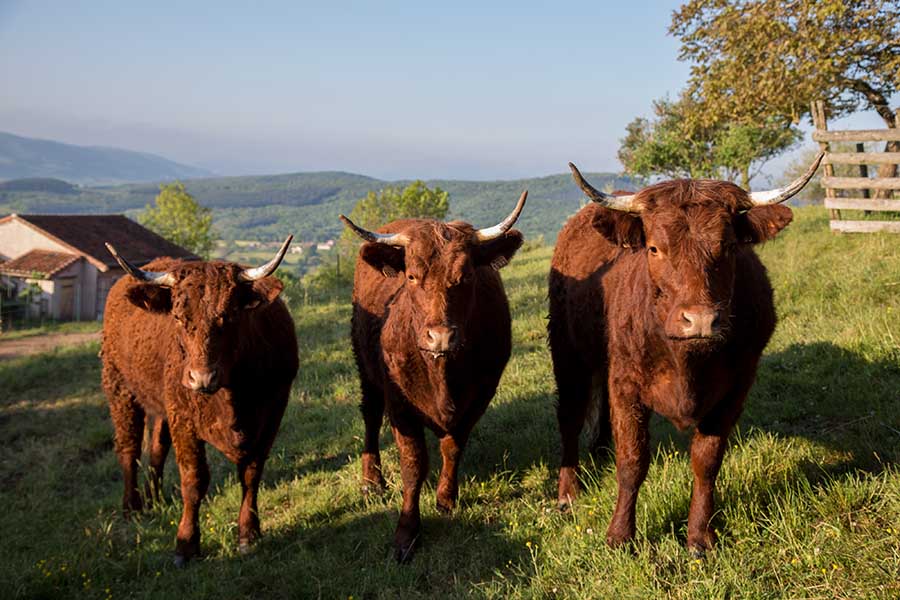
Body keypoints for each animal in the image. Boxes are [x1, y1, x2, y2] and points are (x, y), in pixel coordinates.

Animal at [100, 237, 298, 564]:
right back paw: (132, 507)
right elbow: (194, 481)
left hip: (161, 404)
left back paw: (155, 498)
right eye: (179, 317)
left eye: (229, 316)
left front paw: (249, 533)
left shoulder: (273, 412)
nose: (200, 378)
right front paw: (186, 544)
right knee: (129, 448)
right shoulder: (184, 421)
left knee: (156, 448)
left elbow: (252, 473)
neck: (232, 397)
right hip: (118, 387)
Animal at [342, 192, 528, 564]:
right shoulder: (399, 405)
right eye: (412, 277)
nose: (440, 337)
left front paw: (445, 498)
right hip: (364, 367)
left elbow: (452, 447)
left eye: (466, 275)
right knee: (370, 416)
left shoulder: (480, 395)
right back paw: (372, 479)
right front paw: (406, 532)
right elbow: (414, 464)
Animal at [548, 154, 824, 552]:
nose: (700, 320)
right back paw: (567, 493)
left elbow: (707, 461)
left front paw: (699, 536)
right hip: (567, 352)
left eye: (729, 246)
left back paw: (599, 452)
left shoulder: (736, 388)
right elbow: (632, 461)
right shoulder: (626, 384)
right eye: (654, 248)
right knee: (570, 417)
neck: (687, 362)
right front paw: (620, 535)